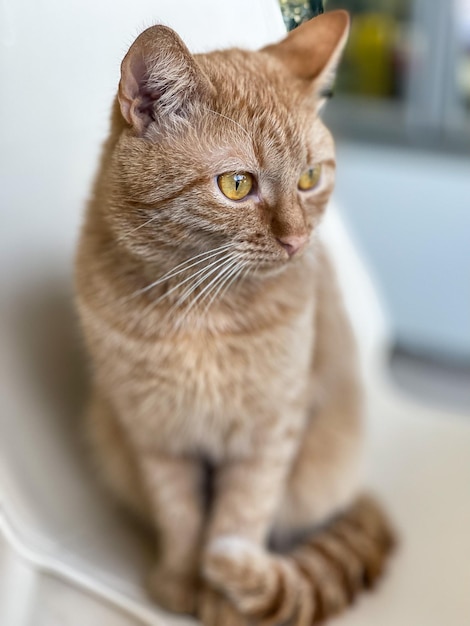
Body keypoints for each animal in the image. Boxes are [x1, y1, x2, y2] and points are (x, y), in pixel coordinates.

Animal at [76, 11, 392, 624]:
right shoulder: (157, 433)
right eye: (237, 184)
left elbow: (239, 517)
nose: (297, 242)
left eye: (310, 178)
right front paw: (180, 585)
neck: (200, 315)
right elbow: (180, 516)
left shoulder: (269, 433)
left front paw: (224, 597)